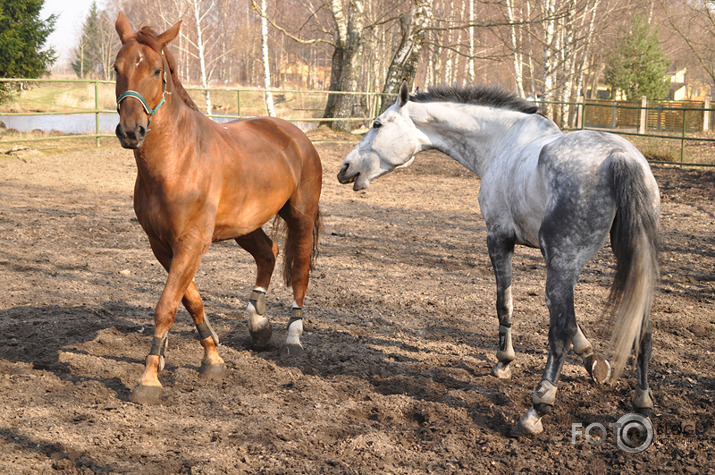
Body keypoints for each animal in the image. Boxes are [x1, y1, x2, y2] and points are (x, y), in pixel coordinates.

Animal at [114, 13, 322, 404]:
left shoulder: (193, 241)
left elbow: (167, 304)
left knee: (300, 271)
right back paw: (258, 324)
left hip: (300, 217)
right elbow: (190, 300)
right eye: (116, 68)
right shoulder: (162, 245)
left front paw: (149, 379)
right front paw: (211, 357)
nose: (131, 131)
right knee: (268, 253)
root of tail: (295, 135)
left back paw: (293, 339)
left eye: (155, 70)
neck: (177, 161)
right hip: (245, 225)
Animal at [338, 82, 664, 438]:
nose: (345, 168)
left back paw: (537, 409)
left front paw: (504, 361)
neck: (501, 141)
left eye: (377, 124)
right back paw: (642, 403)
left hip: (562, 265)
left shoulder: (498, 239)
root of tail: (619, 156)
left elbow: (504, 304)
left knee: (560, 331)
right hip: (632, 263)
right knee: (643, 329)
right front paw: (594, 362)